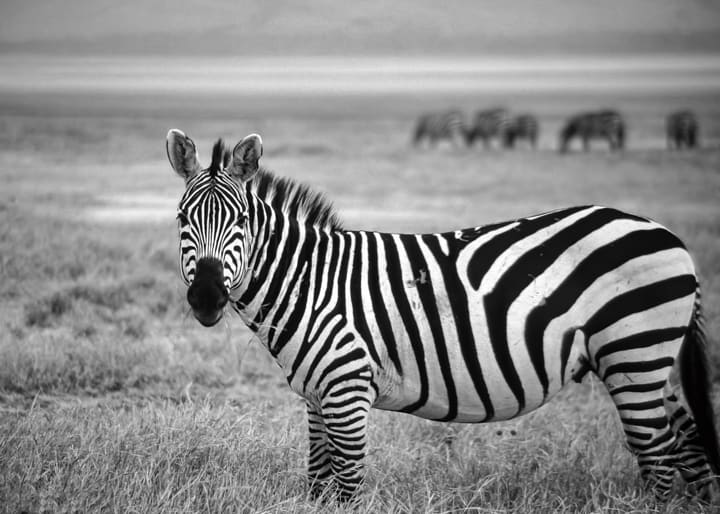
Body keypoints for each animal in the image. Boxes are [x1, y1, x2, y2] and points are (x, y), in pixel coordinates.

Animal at [166, 129, 720, 502]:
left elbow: (346, 486)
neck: (312, 283)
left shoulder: (347, 390)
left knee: (658, 452)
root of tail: (668, 234)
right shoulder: (317, 397)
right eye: (182, 219)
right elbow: (318, 483)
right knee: (687, 441)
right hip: (649, 361)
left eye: (240, 221)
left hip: (633, 352)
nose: (207, 298)